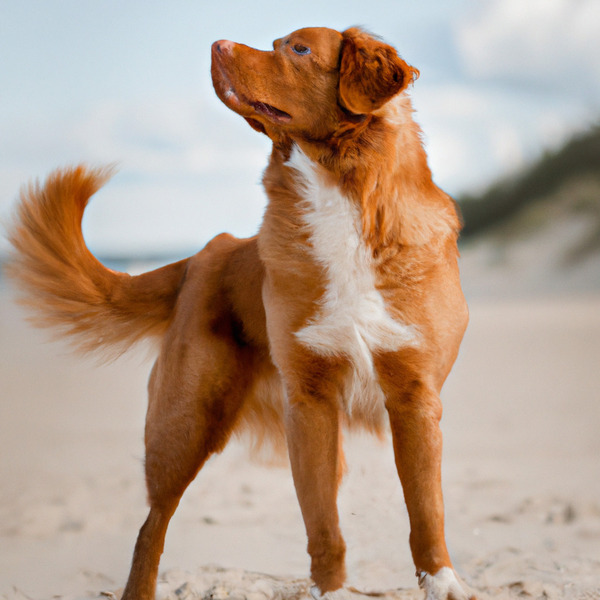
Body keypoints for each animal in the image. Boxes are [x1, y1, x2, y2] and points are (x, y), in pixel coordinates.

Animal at [4, 27, 474, 600]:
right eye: (275, 41)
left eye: (298, 49)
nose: (217, 44)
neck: (337, 191)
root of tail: (206, 253)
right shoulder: (310, 401)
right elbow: (322, 521)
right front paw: (329, 590)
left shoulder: (414, 396)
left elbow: (426, 510)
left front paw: (443, 582)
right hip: (184, 422)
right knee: (151, 526)